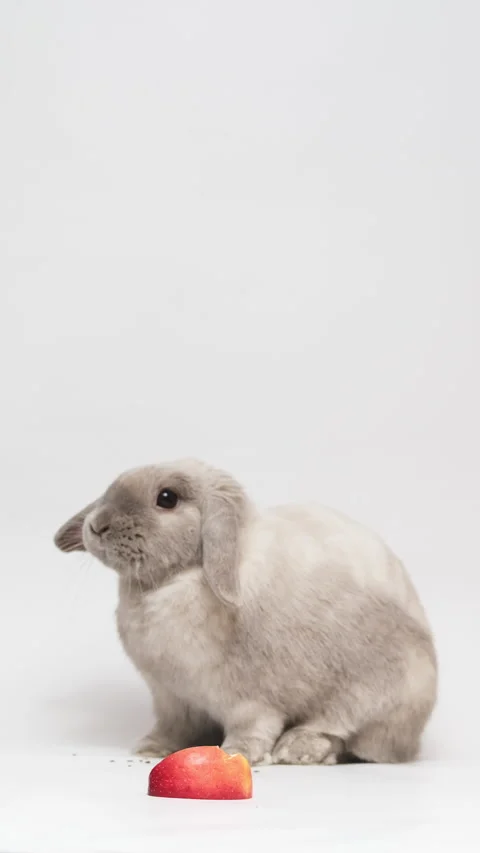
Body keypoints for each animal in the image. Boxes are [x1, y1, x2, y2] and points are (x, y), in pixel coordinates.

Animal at [54, 458, 437, 765]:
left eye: (167, 498)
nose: (96, 525)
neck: (172, 582)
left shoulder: (250, 698)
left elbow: (253, 726)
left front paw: (237, 754)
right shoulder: (173, 700)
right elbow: (173, 729)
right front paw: (150, 748)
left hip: (376, 694)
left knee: (343, 733)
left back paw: (298, 749)